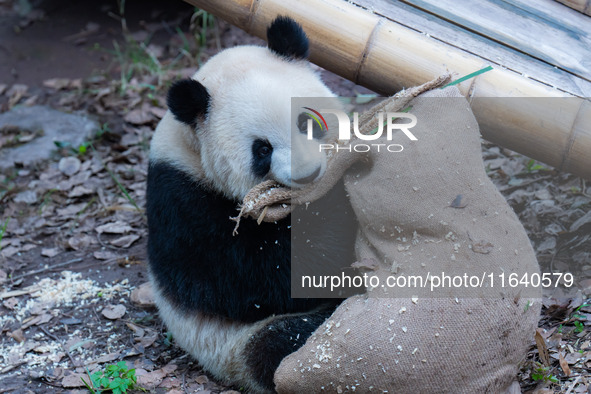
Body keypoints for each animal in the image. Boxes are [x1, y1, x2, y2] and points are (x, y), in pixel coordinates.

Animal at [146, 16, 358, 392]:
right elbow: (257, 277)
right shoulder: (180, 201)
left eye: (307, 122)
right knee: (282, 345)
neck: (191, 145)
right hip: (235, 347)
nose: (309, 174)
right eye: (262, 150)